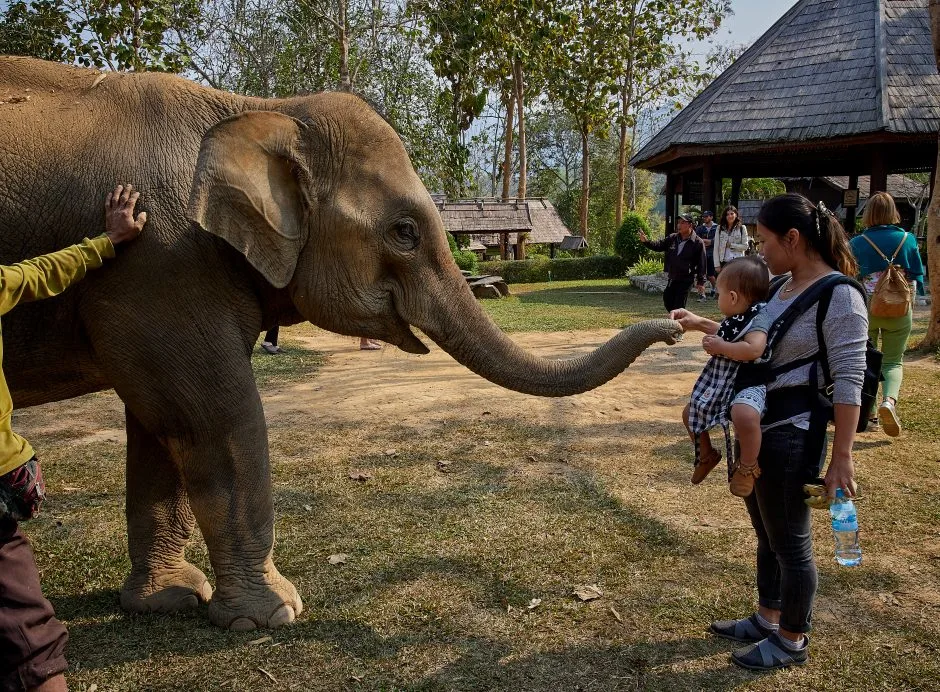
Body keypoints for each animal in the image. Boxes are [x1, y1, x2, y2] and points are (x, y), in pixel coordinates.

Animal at [0, 56, 682, 631]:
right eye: (404, 231)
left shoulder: (147, 277)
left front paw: (168, 599)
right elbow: (212, 417)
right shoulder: (159, 264)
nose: (677, 323)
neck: (258, 108)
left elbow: (158, 427)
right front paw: (271, 616)